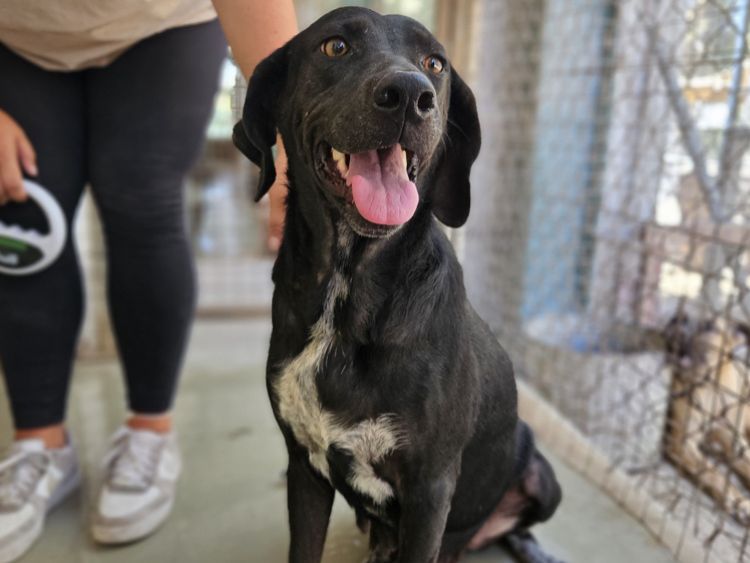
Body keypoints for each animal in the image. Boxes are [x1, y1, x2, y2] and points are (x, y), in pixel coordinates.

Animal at [235, 8, 564, 563]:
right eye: (335, 46)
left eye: (434, 63)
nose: (411, 94)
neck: (346, 292)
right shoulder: (305, 466)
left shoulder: (430, 488)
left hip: (542, 475)